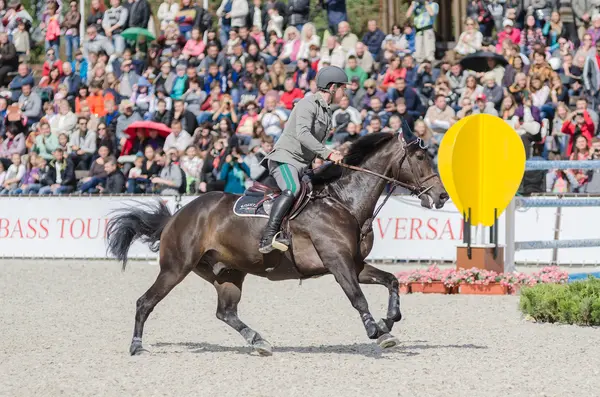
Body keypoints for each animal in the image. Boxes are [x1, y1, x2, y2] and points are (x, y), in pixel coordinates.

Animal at [105, 131, 448, 354]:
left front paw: (390, 320)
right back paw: (137, 346)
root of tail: (179, 214)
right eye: (420, 157)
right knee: (145, 302)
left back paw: (259, 342)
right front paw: (376, 331)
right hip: (176, 268)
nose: (442, 196)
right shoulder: (337, 261)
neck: (342, 202)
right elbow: (357, 298)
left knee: (225, 313)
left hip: (228, 272)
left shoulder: (355, 263)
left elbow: (391, 280)